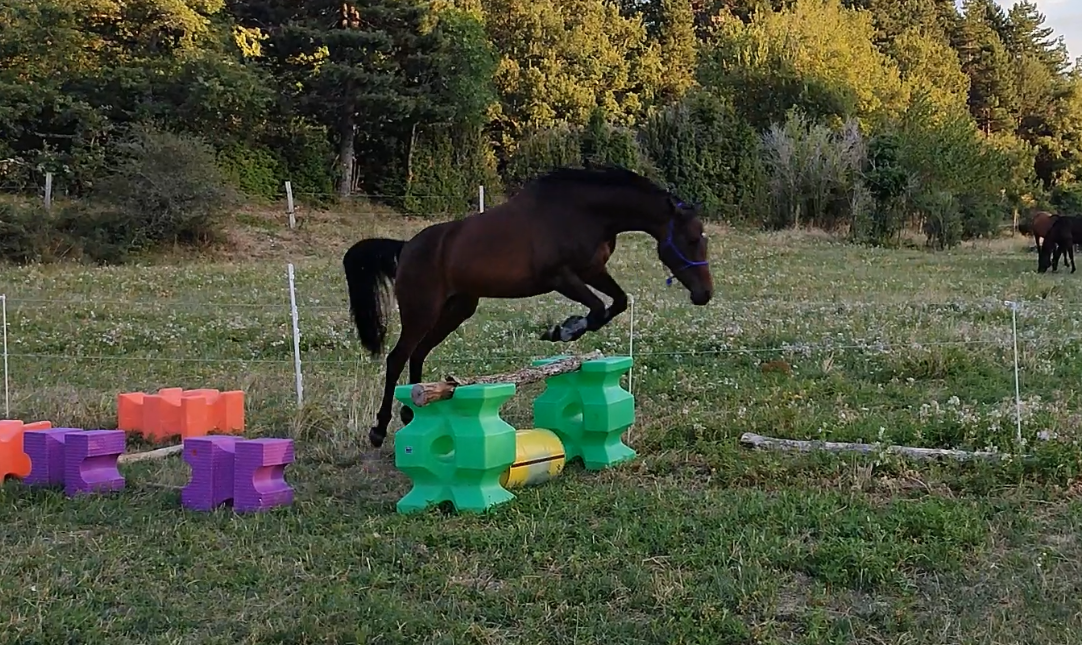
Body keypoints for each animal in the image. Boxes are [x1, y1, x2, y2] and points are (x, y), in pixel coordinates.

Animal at [343, 165, 715, 448]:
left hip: (457, 309)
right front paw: (564, 330)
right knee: (397, 358)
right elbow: (597, 308)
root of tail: (406, 248)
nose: (705, 294)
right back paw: (379, 429)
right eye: (691, 239)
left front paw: (566, 329)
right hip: (421, 312)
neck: (586, 213)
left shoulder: (592, 271)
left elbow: (617, 303)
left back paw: (410, 413)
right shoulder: (562, 277)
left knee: (418, 354)